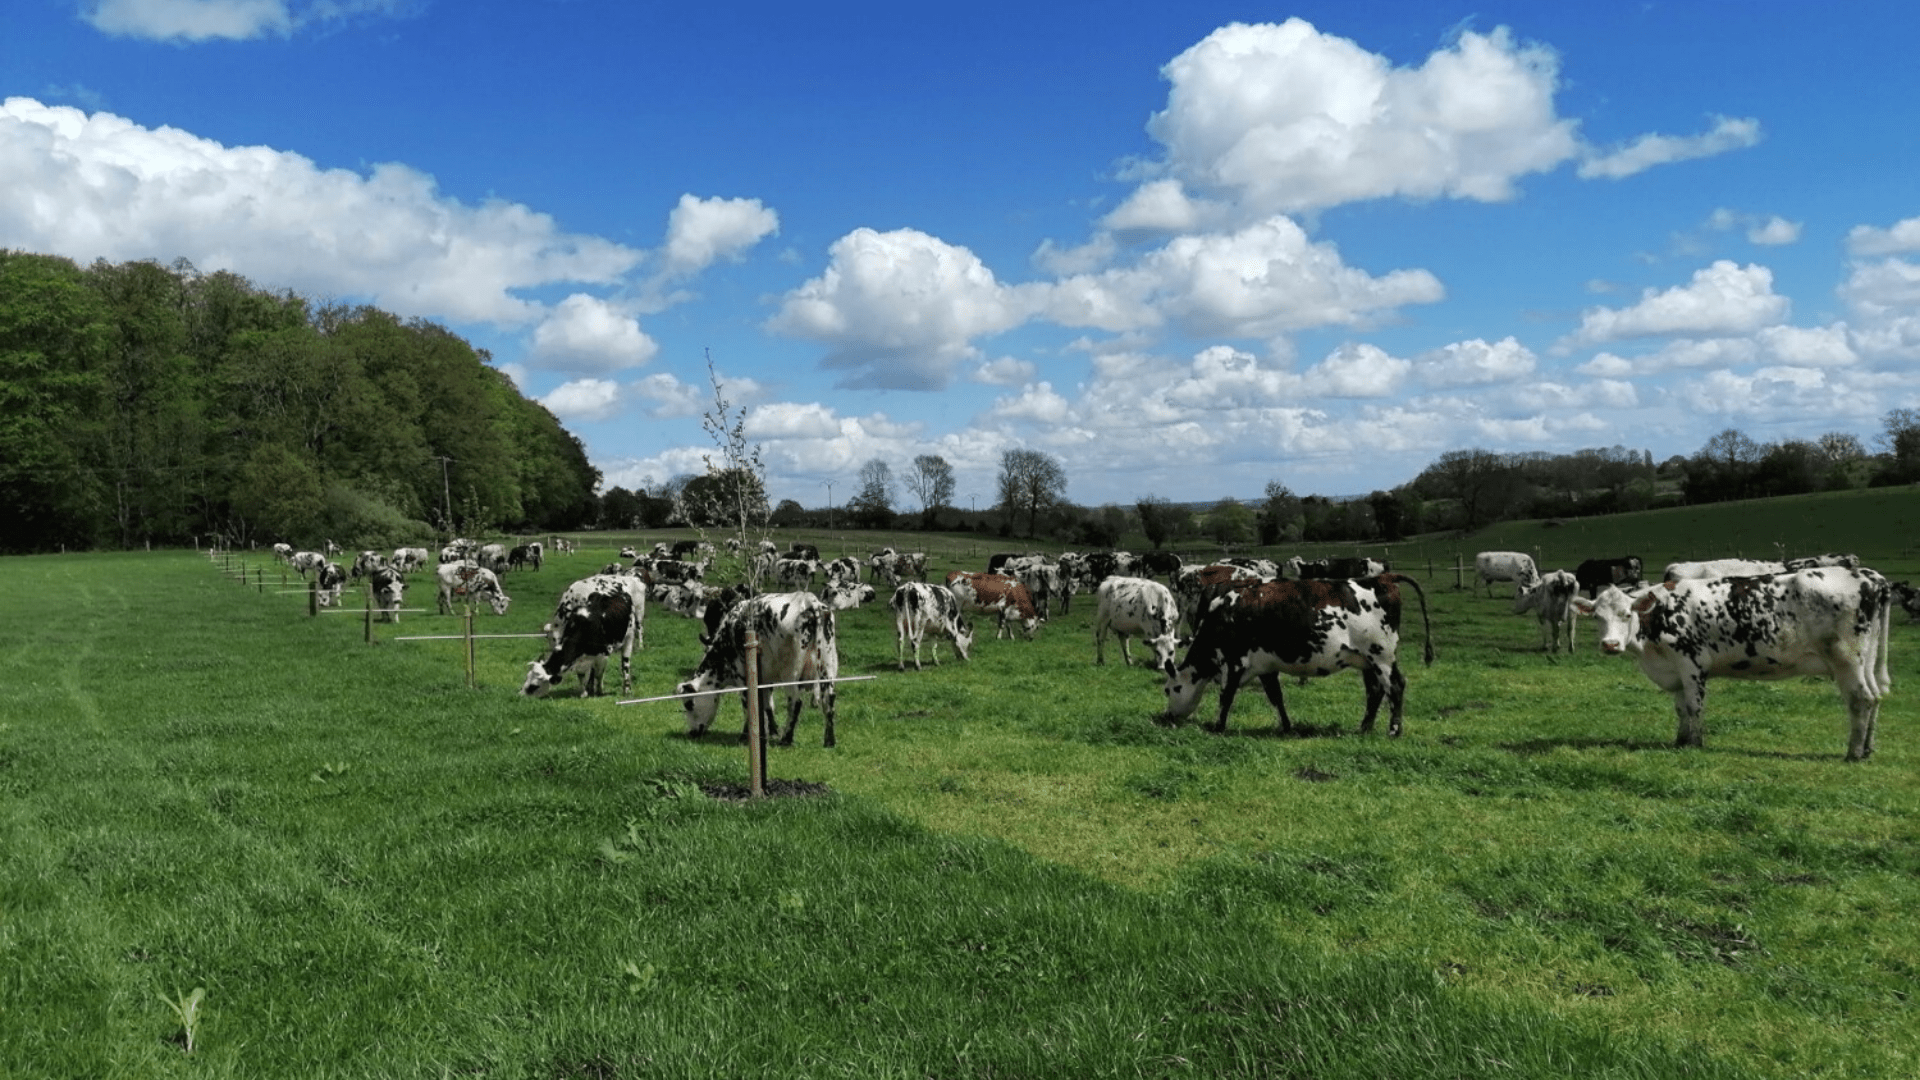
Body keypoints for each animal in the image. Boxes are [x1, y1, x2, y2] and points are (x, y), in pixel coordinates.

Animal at [1152, 576, 1443, 734]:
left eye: (1169, 689)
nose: (1167, 717)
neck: (1224, 615)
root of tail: (1383, 579)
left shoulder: (1234, 663)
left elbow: (1226, 697)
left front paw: (1218, 727)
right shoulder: (1265, 666)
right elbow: (1276, 697)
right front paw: (1287, 726)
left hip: (1381, 656)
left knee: (1395, 687)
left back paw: (1394, 730)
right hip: (1367, 661)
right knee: (1375, 692)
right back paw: (1364, 727)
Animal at [1574, 564, 1889, 757]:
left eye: (1627, 614)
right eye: (1597, 617)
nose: (1610, 645)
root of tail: (1870, 576)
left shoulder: (1691, 663)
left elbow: (1694, 707)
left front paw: (1695, 743)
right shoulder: (1675, 670)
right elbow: (1681, 709)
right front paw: (1680, 740)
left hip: (1846, 658)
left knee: (1861, 700)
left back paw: (1853, 753)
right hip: (1866, 659)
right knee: (1875, 697)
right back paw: (1868, 749)